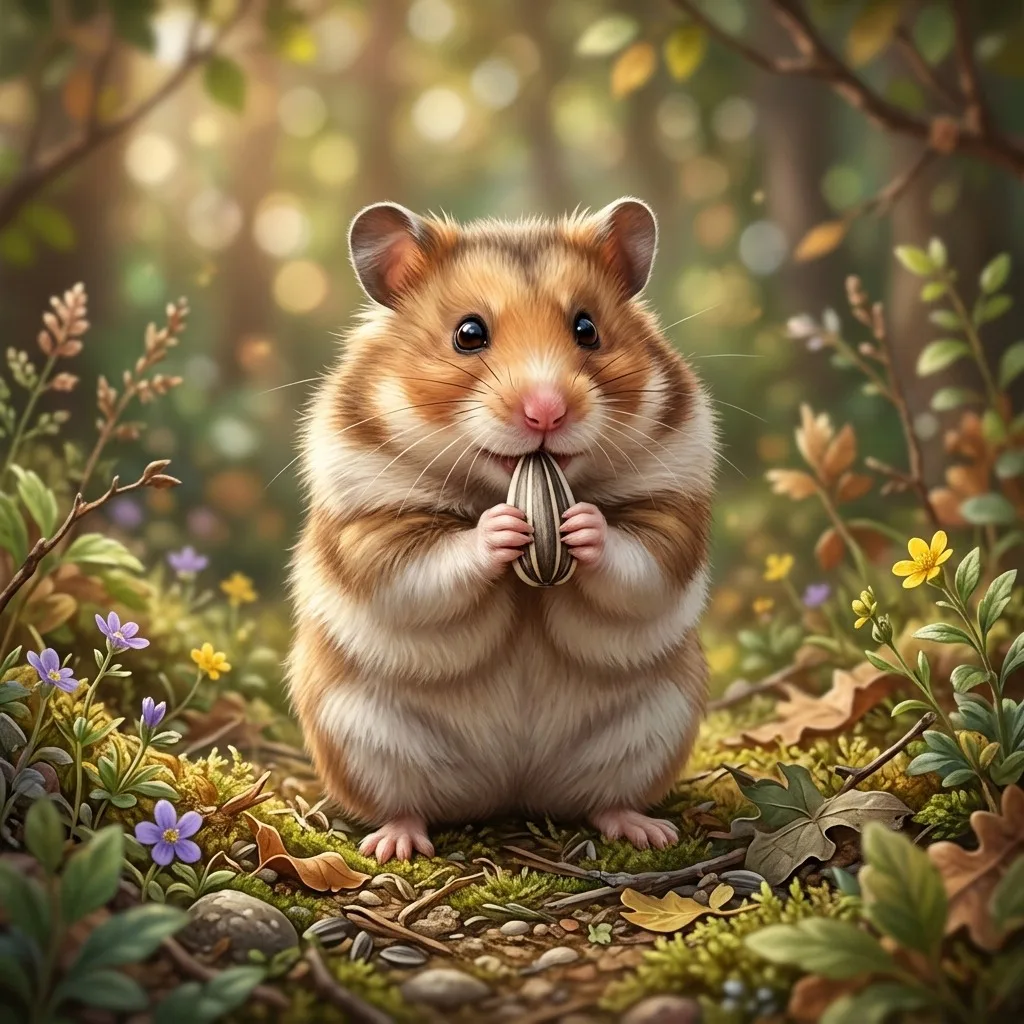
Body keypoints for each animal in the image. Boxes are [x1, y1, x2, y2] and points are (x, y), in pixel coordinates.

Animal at [286, 198, 716, 863]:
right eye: (469, 334)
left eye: (587, 328)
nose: (546, 412)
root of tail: (511, 790)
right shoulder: (372, 527)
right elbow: (423, 568)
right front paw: (502, 527)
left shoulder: (672, 508)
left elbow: (641, 561)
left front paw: (581, 524)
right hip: (356, 732)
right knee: (404, 803)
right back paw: (394, 844)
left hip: (657, 724)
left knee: (605, 799)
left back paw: (647, 831)